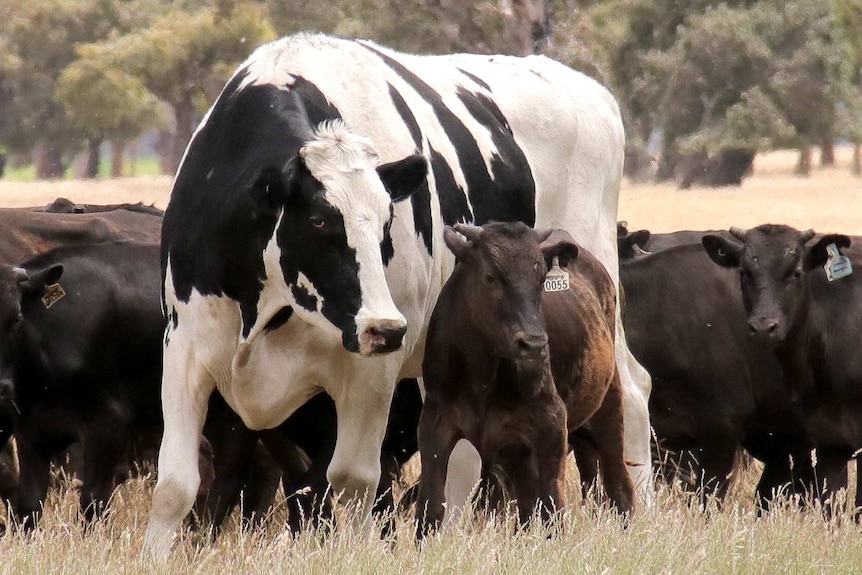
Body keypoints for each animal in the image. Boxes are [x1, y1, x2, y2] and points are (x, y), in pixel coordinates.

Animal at [418, 222, 636, 540]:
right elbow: (430, 506)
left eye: (541, 279)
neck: (483, 375)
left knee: (618, 485)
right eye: (489, 276)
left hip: (608, 404)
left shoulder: (551, 425)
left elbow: (552, 509)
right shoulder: (436, 423)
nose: (533, 343)